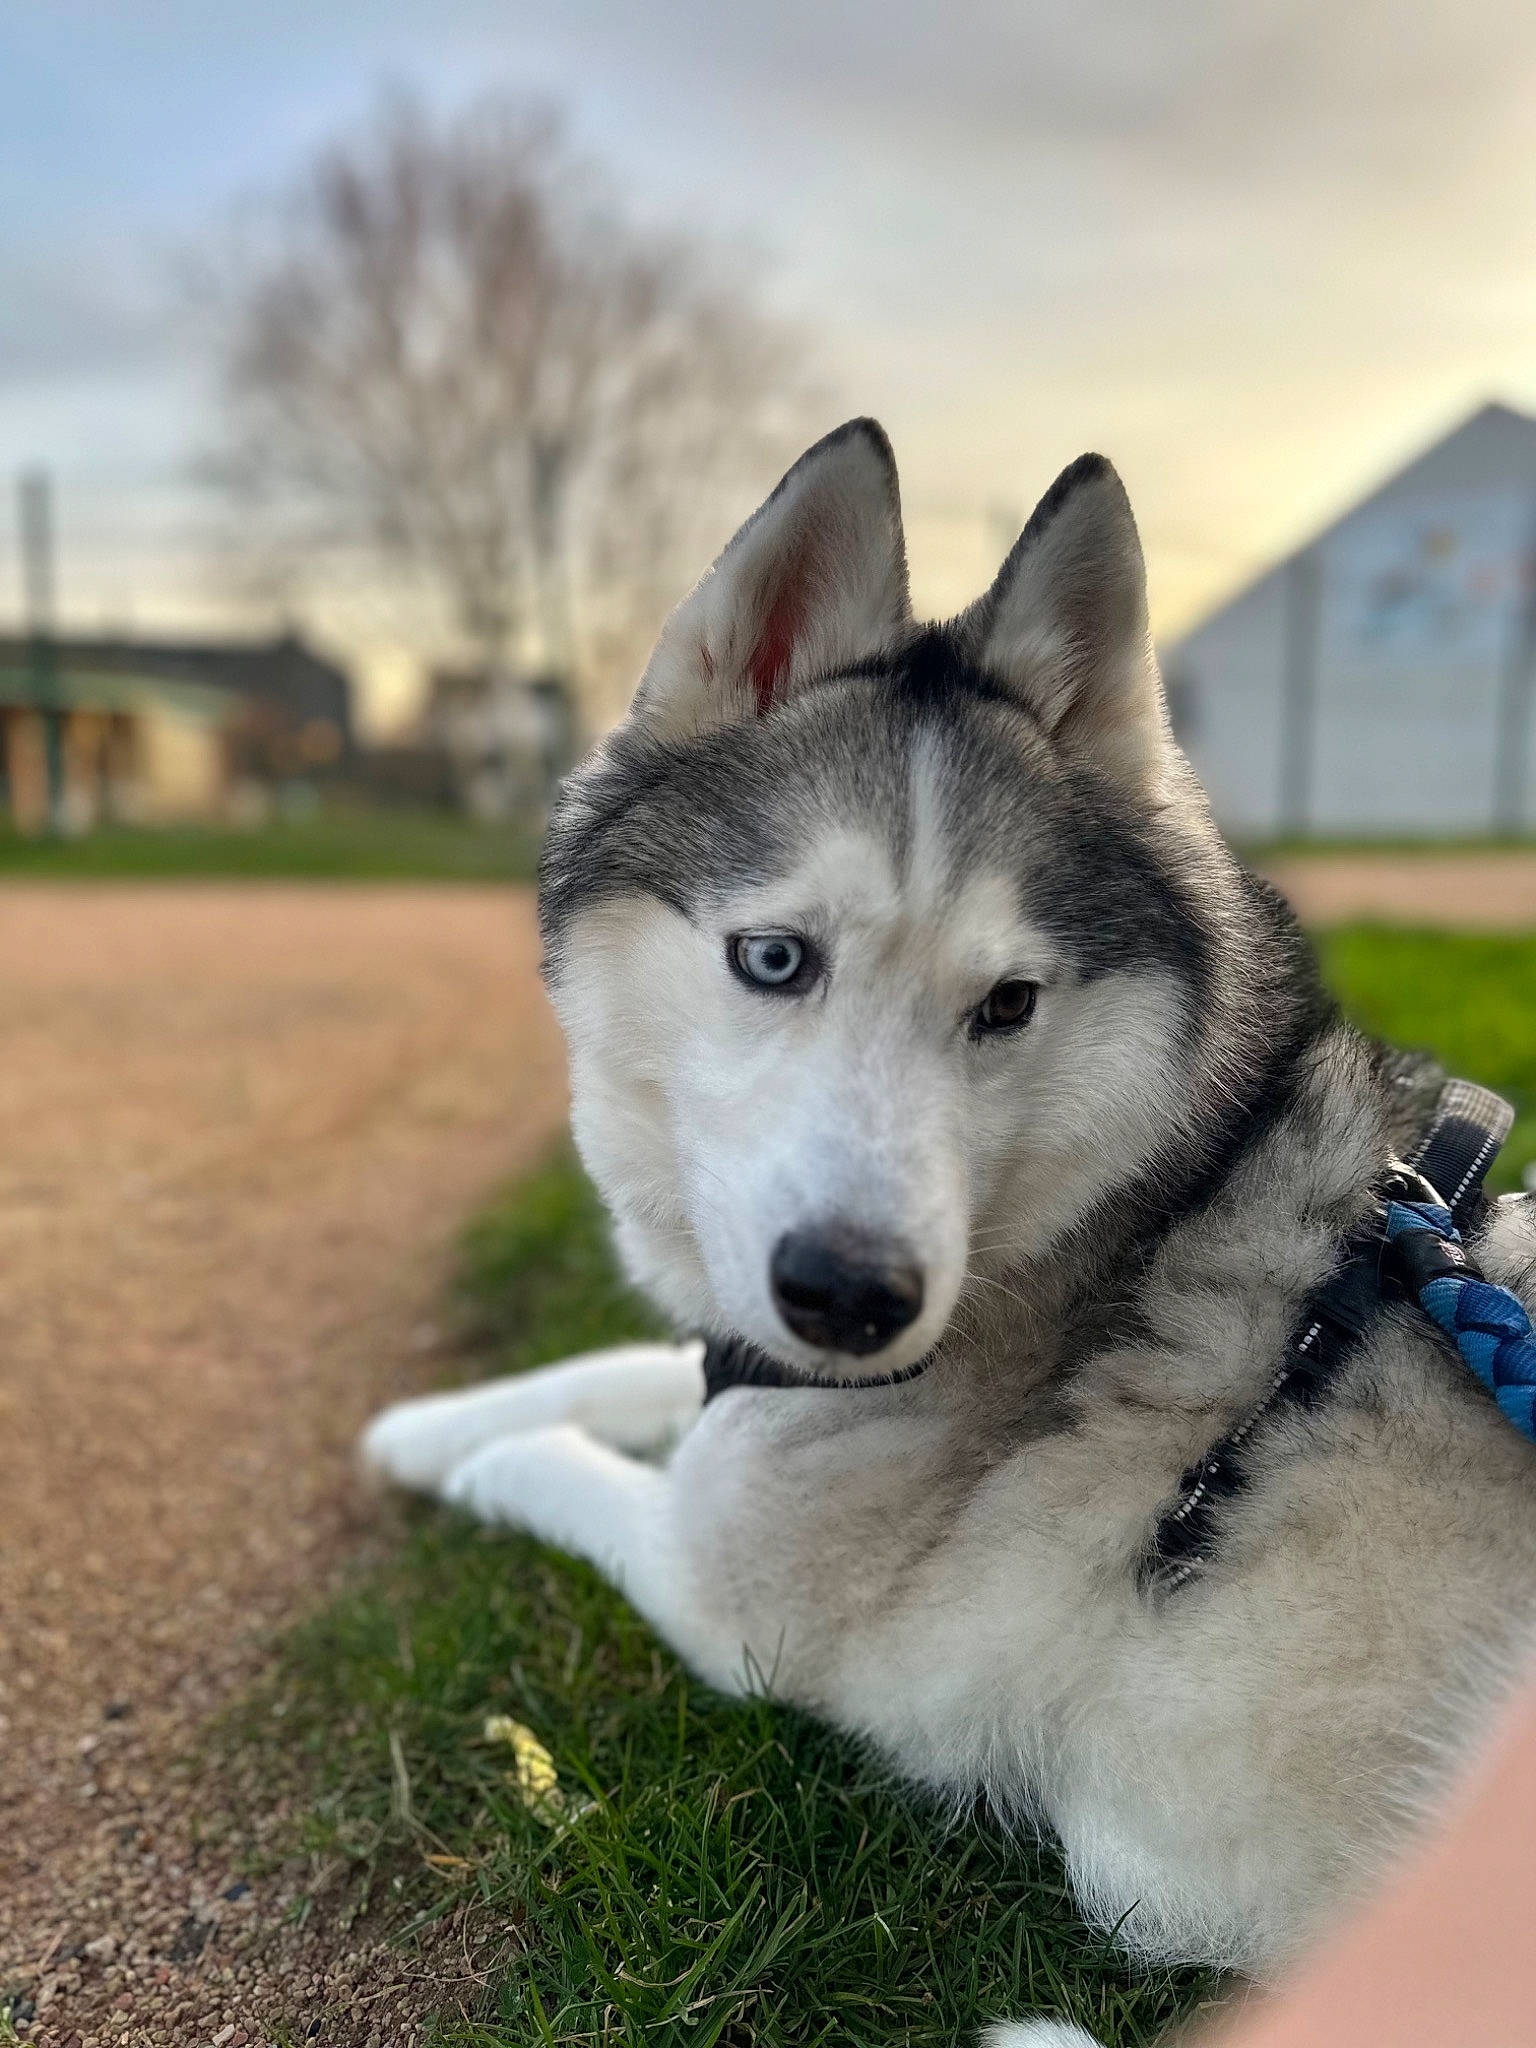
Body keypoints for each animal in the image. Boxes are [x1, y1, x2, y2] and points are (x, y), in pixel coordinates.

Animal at [364, 421, 1536, 2045]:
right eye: (772, 957)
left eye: (1009, 1003)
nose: (856, 1298)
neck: (1105, 1217)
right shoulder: (757, 1373)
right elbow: (628, 1367)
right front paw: (427, 1424)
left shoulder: (728, 1602)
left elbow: (577, 1472)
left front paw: (487, 1458)